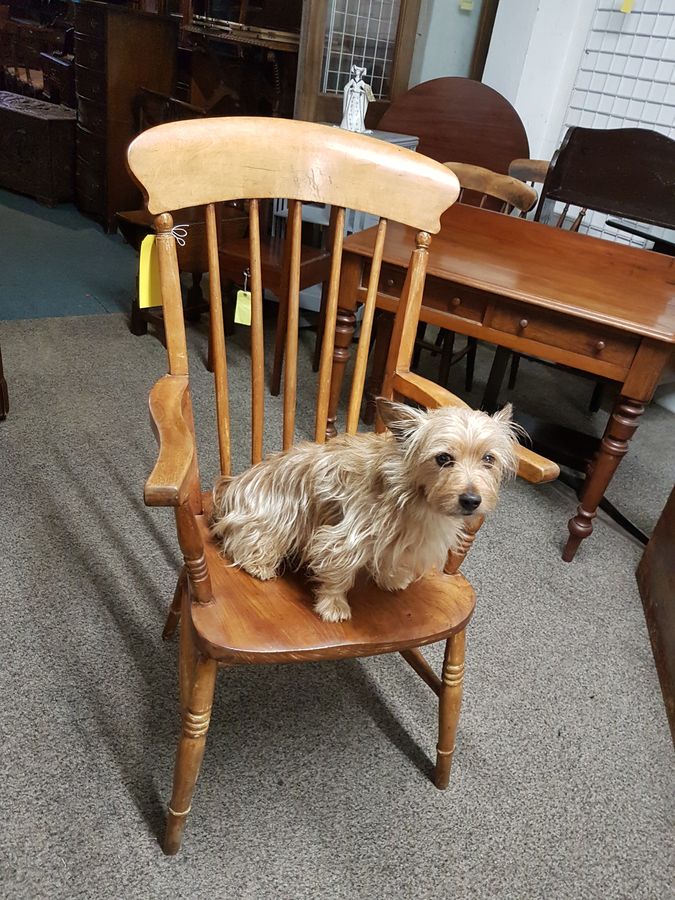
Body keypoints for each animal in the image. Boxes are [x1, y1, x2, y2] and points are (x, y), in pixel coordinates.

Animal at [214, 398, 520, 624]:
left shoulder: (400, 539)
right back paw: (258, 563)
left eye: (489, 459)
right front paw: (333, 605)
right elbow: (338, 573)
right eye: (443, 458)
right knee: (245, 538)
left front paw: (391, 578)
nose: (471, 500)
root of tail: (230, 489)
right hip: (276, 515)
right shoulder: (345, 537)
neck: (416, 496)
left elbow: (391, 559)